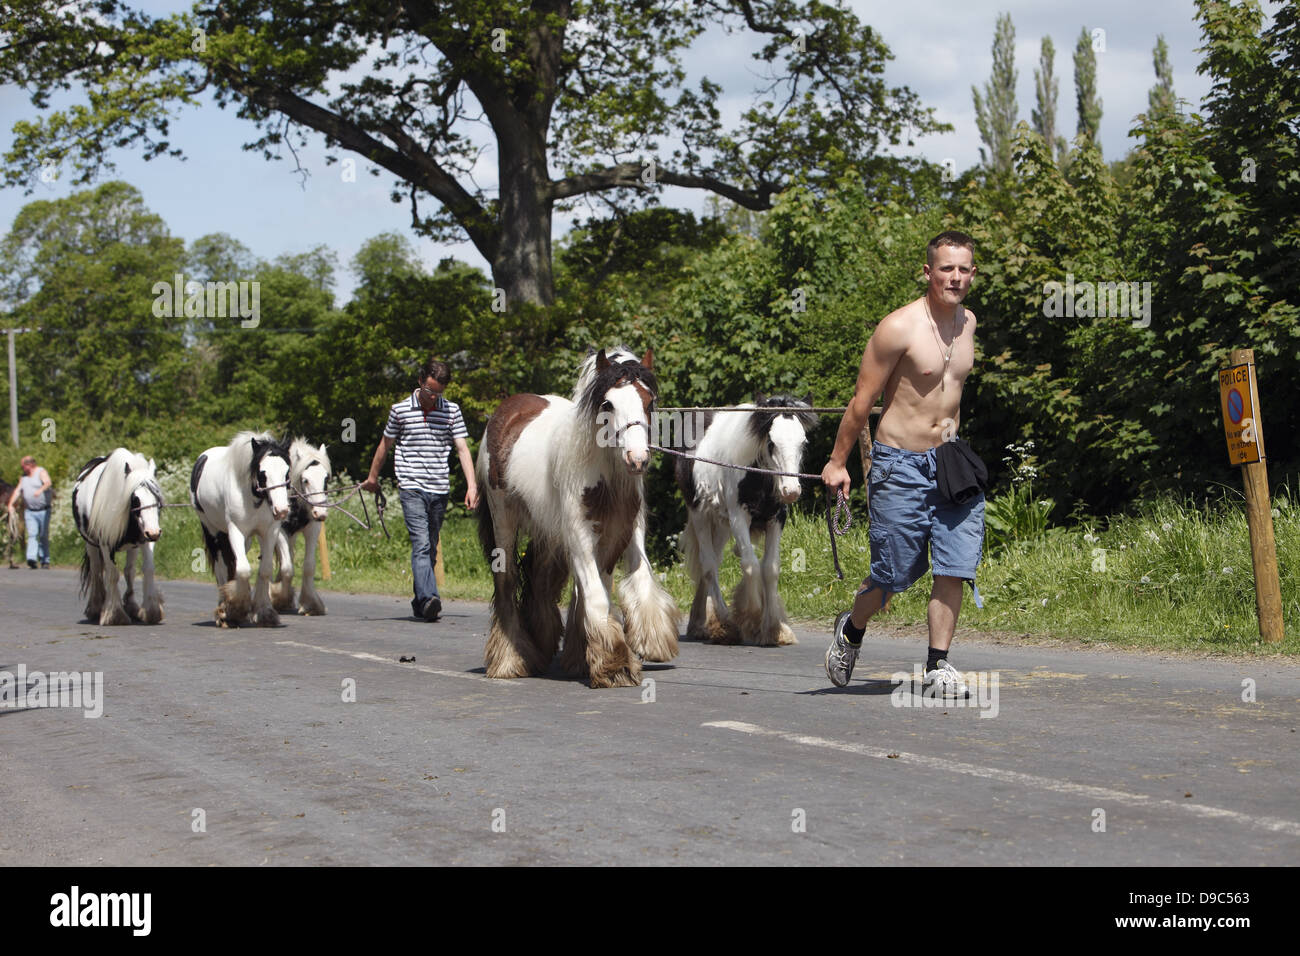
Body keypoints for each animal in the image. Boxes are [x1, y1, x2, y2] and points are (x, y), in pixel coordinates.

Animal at [72, 450, 165, 629]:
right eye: (136, 499)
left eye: (156, 497)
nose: (154, 533)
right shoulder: (105, 543)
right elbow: (112, 574)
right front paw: (114, 615)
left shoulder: (144, 540)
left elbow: (147, 569)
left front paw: (151, 610)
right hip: (91, 545)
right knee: (97, 570)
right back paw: (96, 607)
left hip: (133, 546)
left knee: (129, 571)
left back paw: (131, 605)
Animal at [189, 431, 292, 629]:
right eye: (262, 473)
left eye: (287, 472)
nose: (282, 510)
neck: (254, 497)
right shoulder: (235, 530)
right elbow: (243, 569)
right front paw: (236, 609)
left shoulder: (269, 531)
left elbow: (265, 569)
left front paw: (264, 612)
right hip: (212, 530)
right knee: (221, 567)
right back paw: (223, 611)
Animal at [267, 439, 330, 613]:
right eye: (305, 480)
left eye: (326, 479)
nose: (320, 512)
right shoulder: (280, 532)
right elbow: (288, 568)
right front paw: (279, 598)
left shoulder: (312, 529)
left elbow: (308, 566)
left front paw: (311, 604)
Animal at [676, 392, 816, 647]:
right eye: (772, 443)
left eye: (803, 443)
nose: (791, 490)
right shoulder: (739, 517)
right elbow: (750, 565)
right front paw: (751, 617)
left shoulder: (776, 519)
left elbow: (770, 568)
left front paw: (774, 629)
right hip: (700, 514)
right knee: (709, 565)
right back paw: (725, 625)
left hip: (721, 524)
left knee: (711, 563)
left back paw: (698, 625)